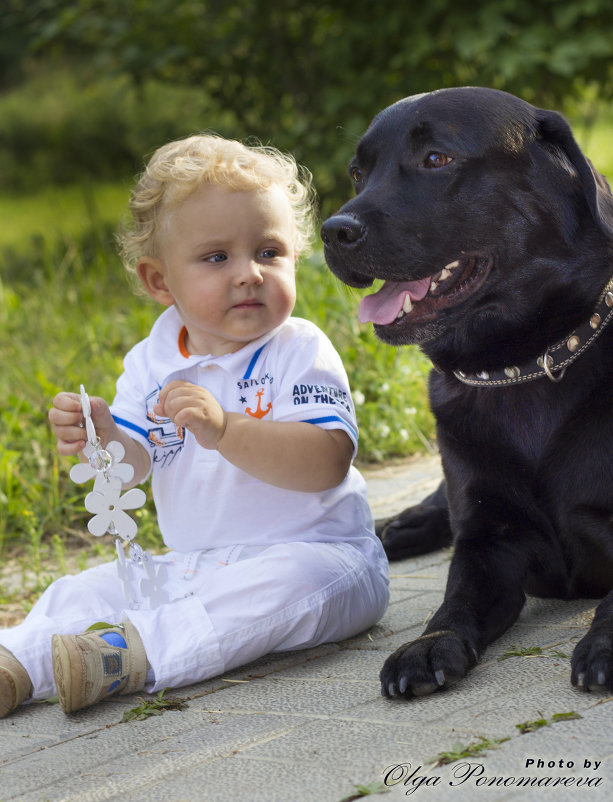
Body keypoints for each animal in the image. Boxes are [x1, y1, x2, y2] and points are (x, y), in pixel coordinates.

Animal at [320, 87, 612, 696]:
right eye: (359, 173)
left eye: (436, 158)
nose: (333, 232)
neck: (520, 367)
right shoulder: (487, 543)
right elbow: (453, 601)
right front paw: (428, 645)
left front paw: (605, 644)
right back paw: (390, 529)